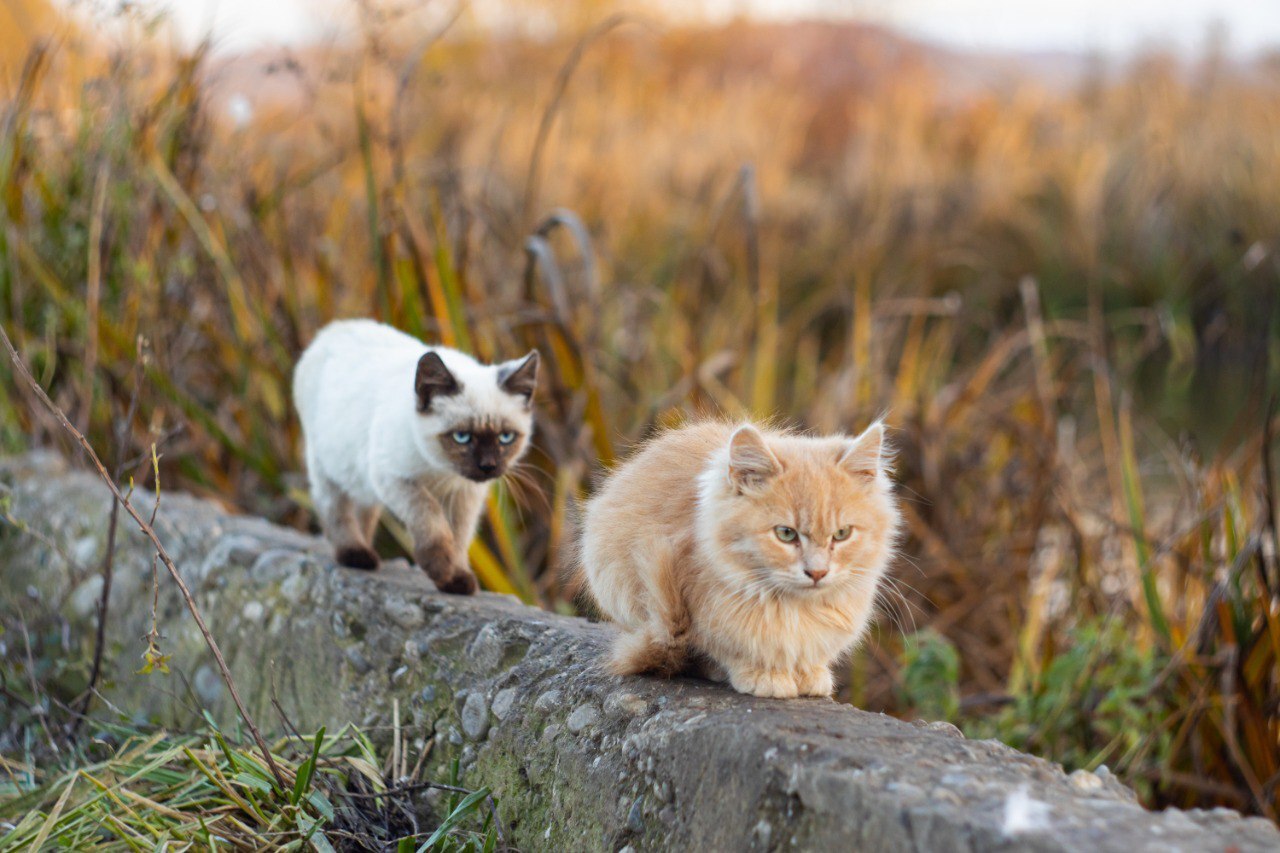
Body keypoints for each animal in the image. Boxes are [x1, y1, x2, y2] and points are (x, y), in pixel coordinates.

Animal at [293, 317, 537, 591]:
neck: (441, 471)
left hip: (360, 480)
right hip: (329, 467)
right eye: (462, 437)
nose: (488, 466)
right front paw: (440, 569)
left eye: (505, 438)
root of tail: (337, 327)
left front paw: (456, 580)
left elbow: (459, 537)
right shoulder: (396, 479)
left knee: (364, 511)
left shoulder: (465, 496)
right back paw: (356, 555)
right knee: (333, 508)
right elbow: (431, 519)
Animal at [581, 414, 901, 696]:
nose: (818, 572)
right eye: (786, 534)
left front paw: (810, 674)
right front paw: (765, 676)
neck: (794, 610)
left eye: (842, 534)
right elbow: (731, 651)